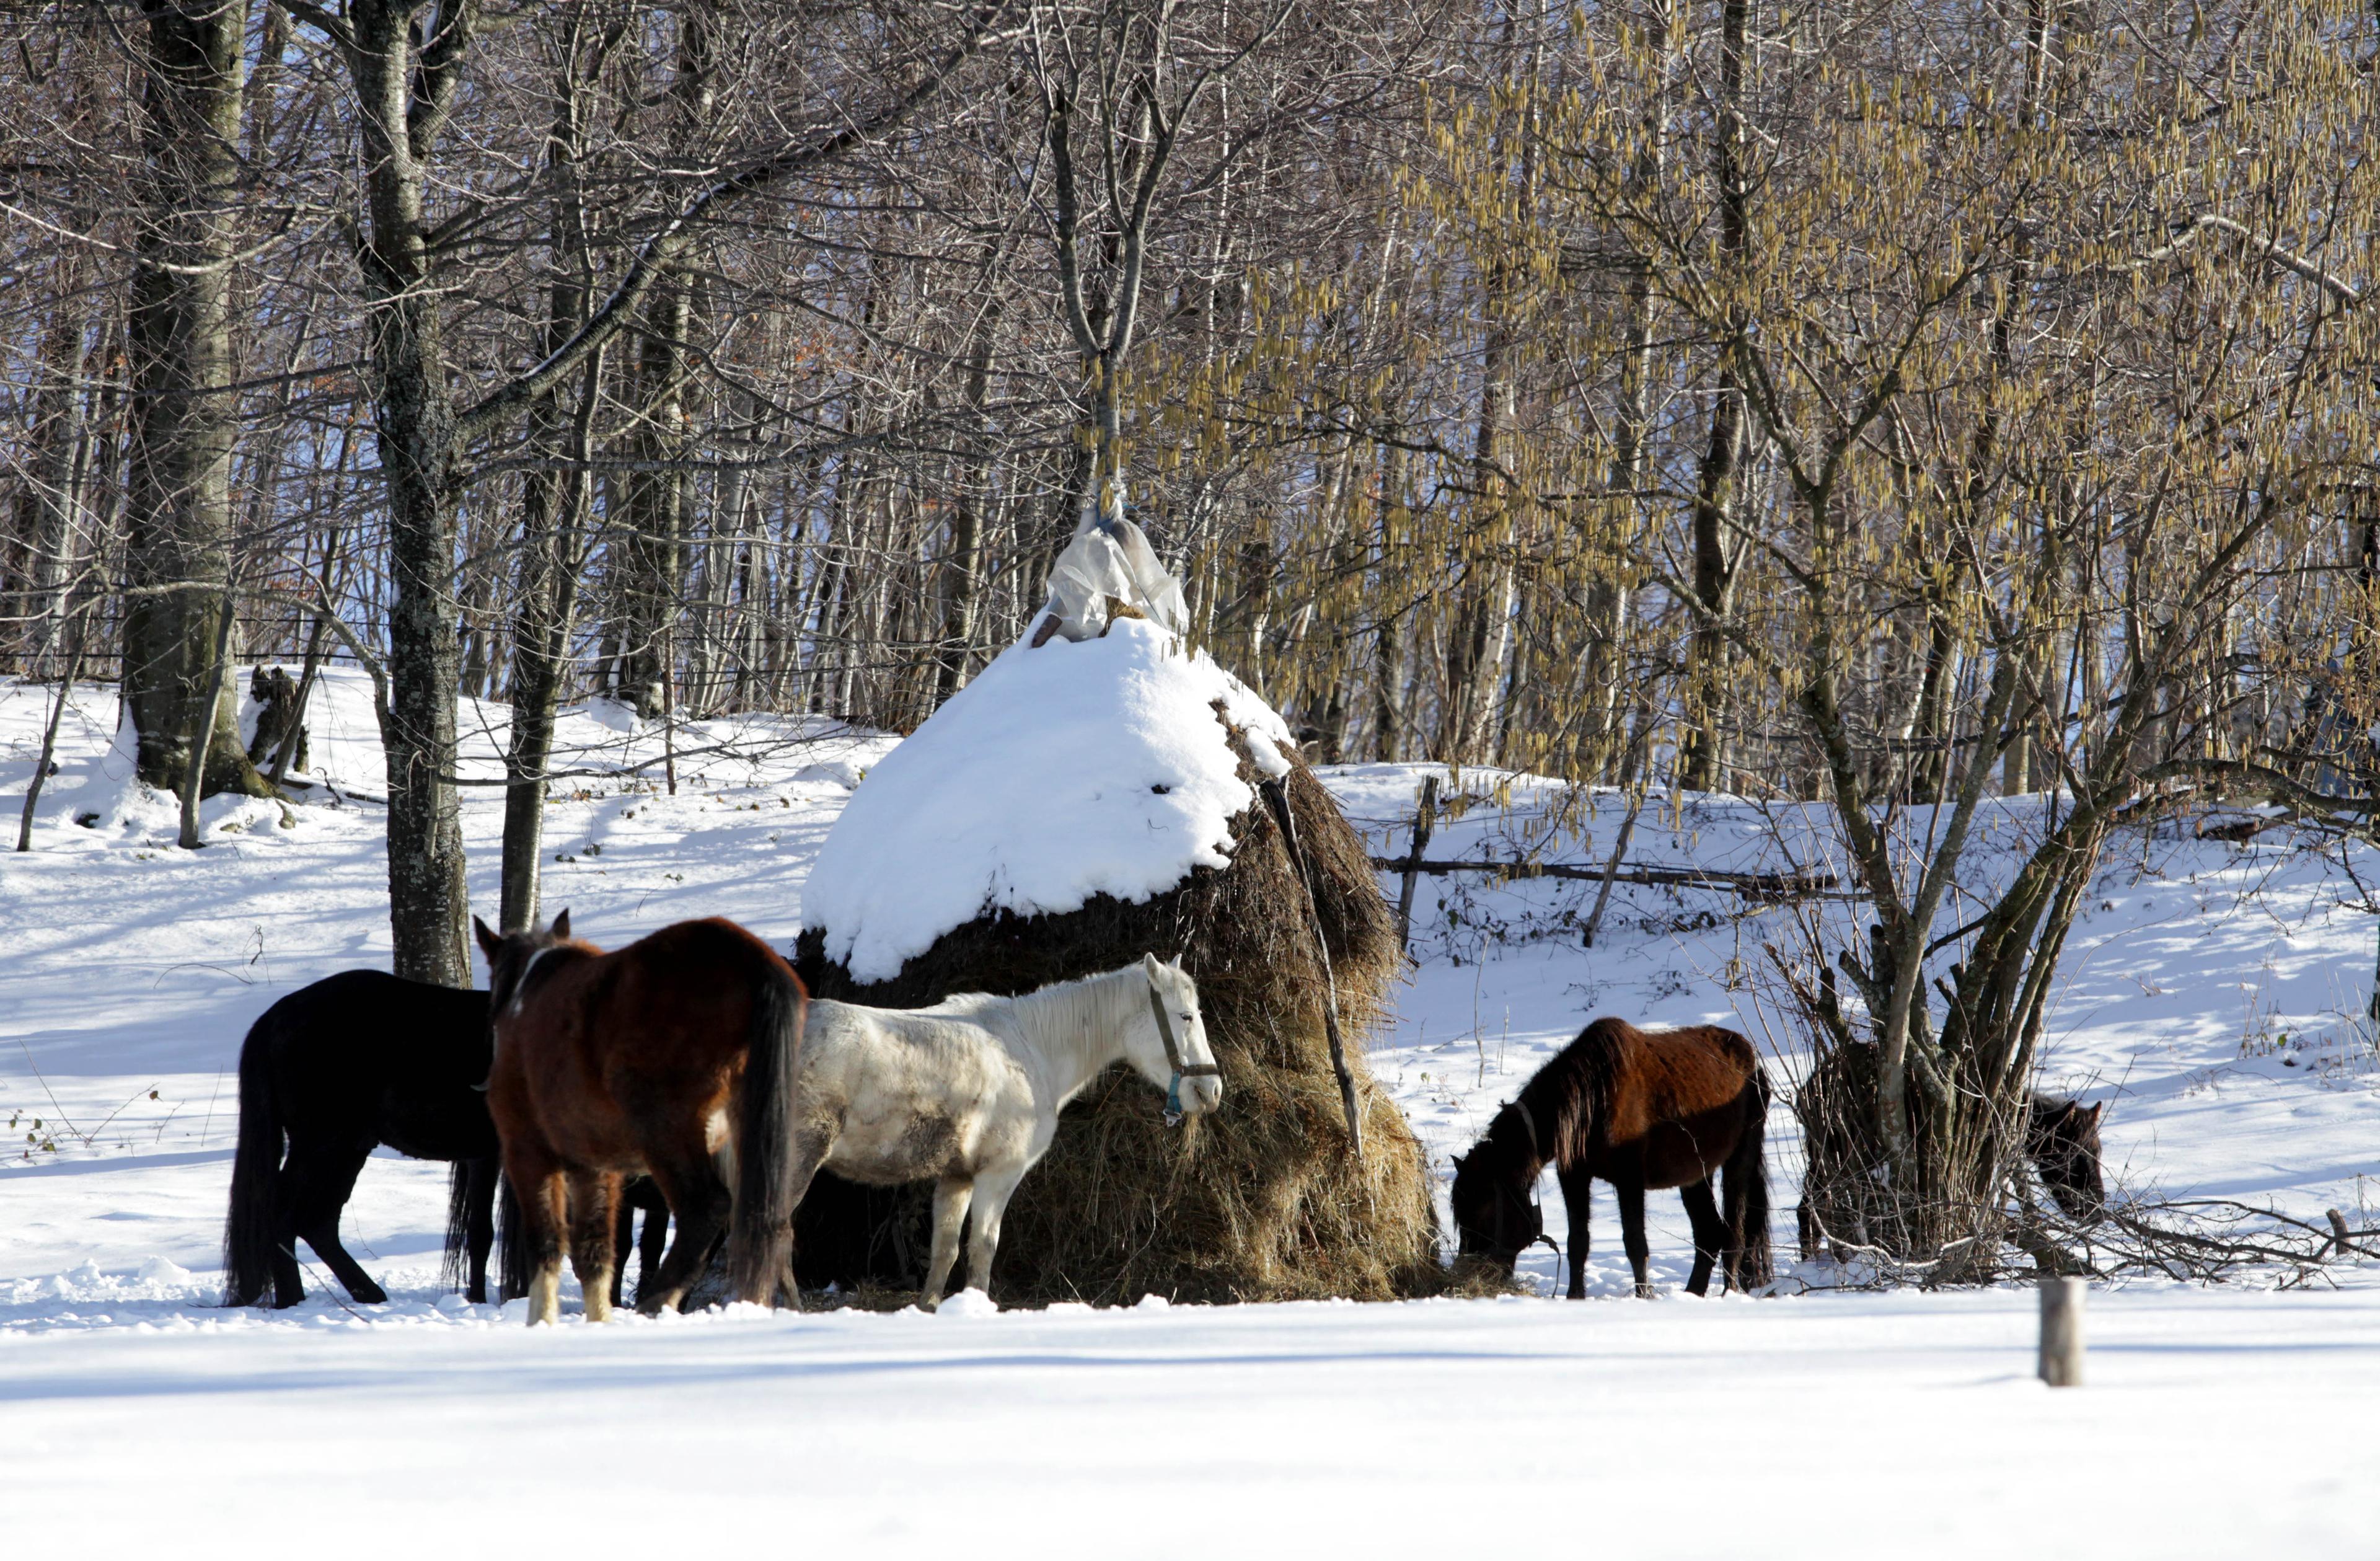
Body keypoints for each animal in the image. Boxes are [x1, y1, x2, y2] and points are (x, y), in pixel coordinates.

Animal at [224, 971, 500, 1313]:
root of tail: (272, 1017)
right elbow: (489, 1232)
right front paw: (485, 1301)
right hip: (321, 1144)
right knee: (284, 1213)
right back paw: (294, 1300)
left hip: (348, 1149)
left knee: (318, 1223)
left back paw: (367, 1294)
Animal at [476, 909, 809, 1323]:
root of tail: (750, 958)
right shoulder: (596, 1168)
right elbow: (596, 1251)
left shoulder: (528, 1153)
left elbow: (546, 1244)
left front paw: (542, 1321)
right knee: (765, 1221)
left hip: (667, 1134)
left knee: (706, 1209)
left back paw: (655, 1302)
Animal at [1437, 1018, 1780, 1294]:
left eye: (1482, 1208)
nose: (1467, 1272)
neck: (1591, 1099)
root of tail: (1753, 1062)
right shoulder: (1574, 1177)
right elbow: (1578, 1242)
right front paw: (1575, 1297)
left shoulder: (1630, 1180)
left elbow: (1636, 1244)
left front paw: (1643, 1297)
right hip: (1696, 1173)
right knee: (1710, 1233)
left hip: (1739, 1160)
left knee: (1734, 1234)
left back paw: (1728, 1293)